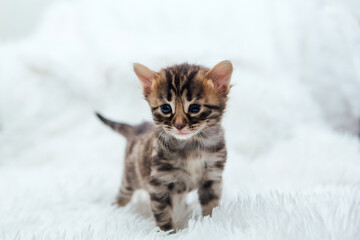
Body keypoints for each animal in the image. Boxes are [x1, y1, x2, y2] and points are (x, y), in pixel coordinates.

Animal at [96, 60, 233, 231]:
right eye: (166, 108)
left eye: (195, 108)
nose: (179, 125)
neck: (192, 145)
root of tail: (137, 128)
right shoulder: (159, 183)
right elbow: (162, 212)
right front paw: (169, 232)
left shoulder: (212, 177)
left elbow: (211, 206)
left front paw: (210, 224)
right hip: (130, 177)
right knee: (123, 193)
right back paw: (116, 208)